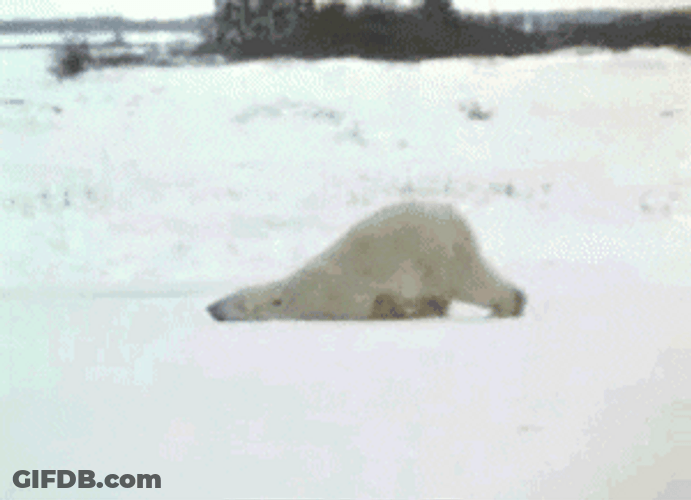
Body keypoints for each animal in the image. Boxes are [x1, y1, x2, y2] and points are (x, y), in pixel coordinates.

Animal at [207, 201, 525, 321]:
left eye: (233, 300)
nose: (210, 307)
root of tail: (454, 216)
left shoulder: (340, 297)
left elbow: (371, 305)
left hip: (434, 254)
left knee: (469, 282)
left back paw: (509, 305)